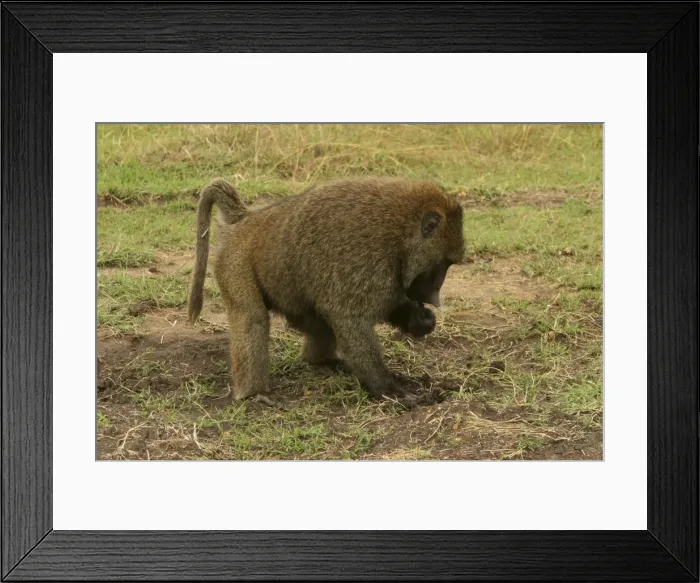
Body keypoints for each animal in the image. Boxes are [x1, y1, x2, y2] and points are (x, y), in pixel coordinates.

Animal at [188, 176, 465, 405]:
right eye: (444, 263)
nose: (434, 297)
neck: (402, 234)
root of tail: (246, 219)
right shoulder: (367, 262)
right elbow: (351, 322)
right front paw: (389, 390)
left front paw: (420, 319)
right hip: (234, 261)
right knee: (253, 318)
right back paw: (253, 394)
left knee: (317, 317)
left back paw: (321, 361)